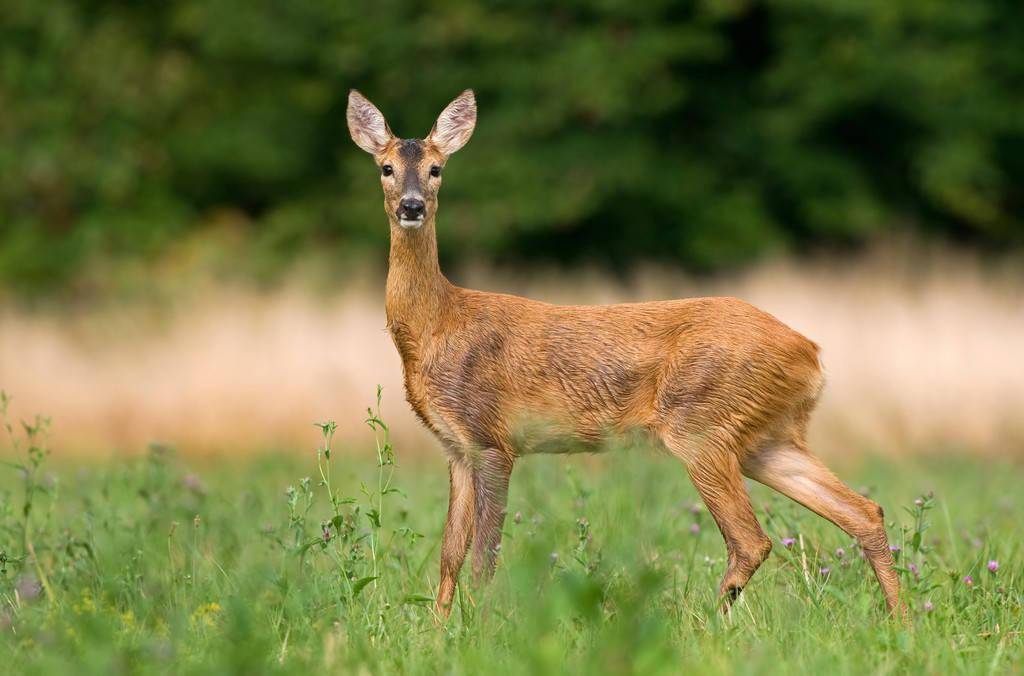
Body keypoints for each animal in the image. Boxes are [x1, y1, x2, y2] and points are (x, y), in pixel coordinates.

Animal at [346, 88, 905, 618]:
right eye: (386, 167)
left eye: (436, 168)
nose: (412, 207)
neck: (438, 325)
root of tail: (811, 353)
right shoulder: (455, 448)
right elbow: (449, 555)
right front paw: (439, 632)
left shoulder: (492, 440)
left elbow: (484, 559)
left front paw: (478, 629)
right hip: (765, 437)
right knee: (864, 511)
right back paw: (900, 620)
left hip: (700, 423)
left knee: (752, 540)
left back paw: (703, 623)